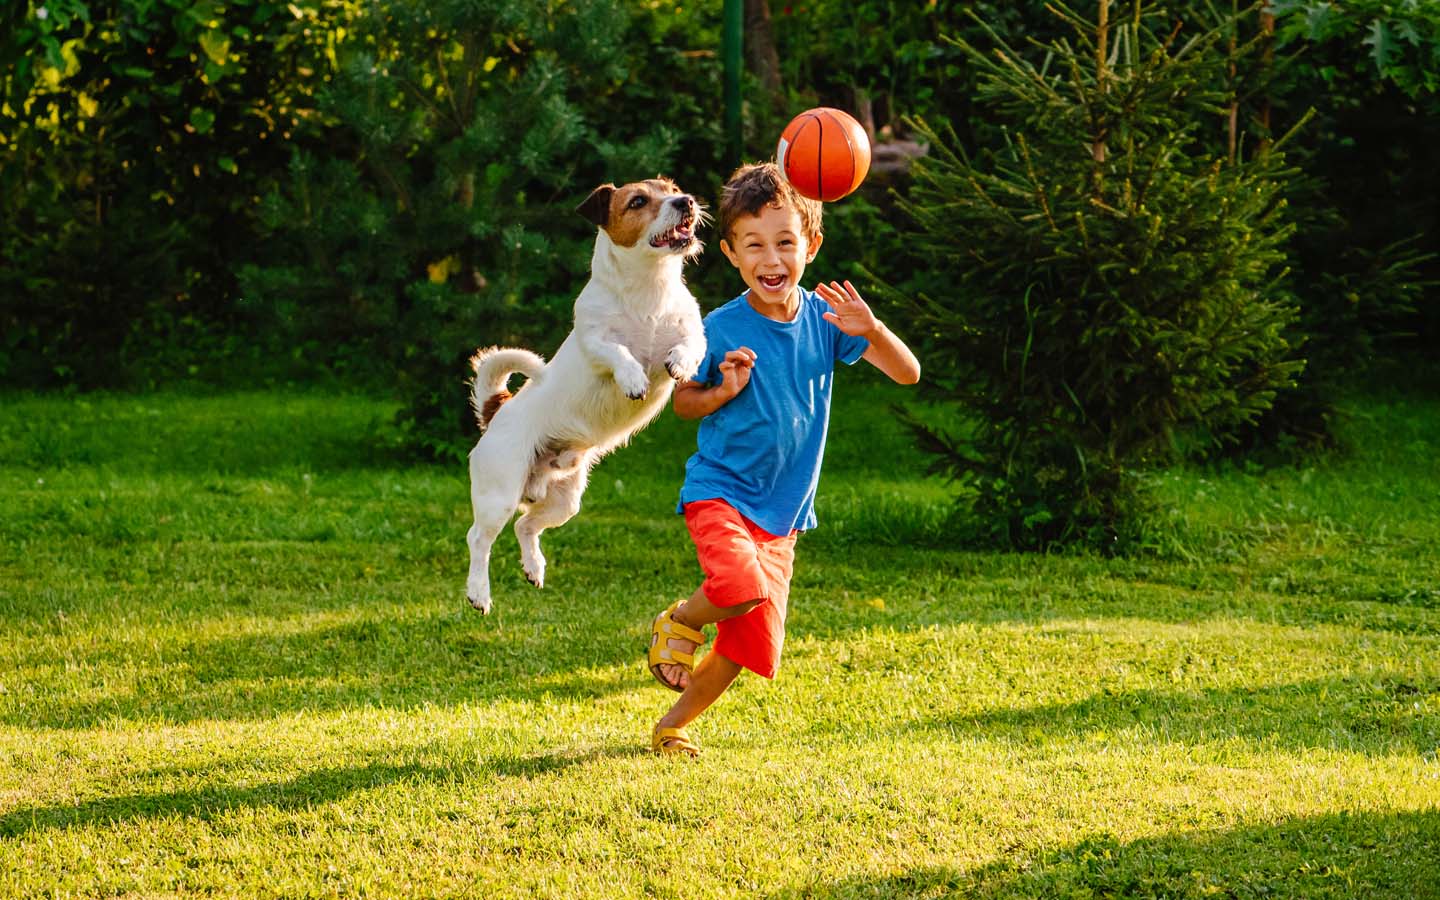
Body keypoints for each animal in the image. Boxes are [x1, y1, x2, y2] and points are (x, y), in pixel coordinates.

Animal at [463, 177, 705, 610]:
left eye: (672, 187)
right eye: (638, 201)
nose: (686, 201)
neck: (649, 289)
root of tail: (497, 411)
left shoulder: (693, 333)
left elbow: (689, 346)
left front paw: (678, 363)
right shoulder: (595, 343)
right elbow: (618, 353)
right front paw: (632, 378)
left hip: (564, 500)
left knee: (526, 525)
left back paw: (534, 567)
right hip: (499, 492)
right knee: (479, 539)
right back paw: (478, 592)